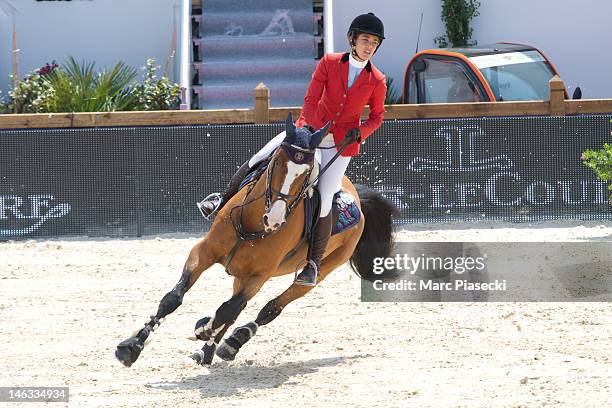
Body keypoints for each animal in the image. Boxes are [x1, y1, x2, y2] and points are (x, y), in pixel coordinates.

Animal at [116, 114, 400, 366]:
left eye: (306, 173)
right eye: (277, 162)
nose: (274, 218)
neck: (252, 224)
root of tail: (357, 197)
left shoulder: (259, 277)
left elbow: (226, 310)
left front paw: (204, 329)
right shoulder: (203, 253)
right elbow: (173, 298)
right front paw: (132, 346)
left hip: (319, 271)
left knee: (269, 308)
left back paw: (231, 343)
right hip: (241, 274)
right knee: (237, 309)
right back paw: (206, 352)